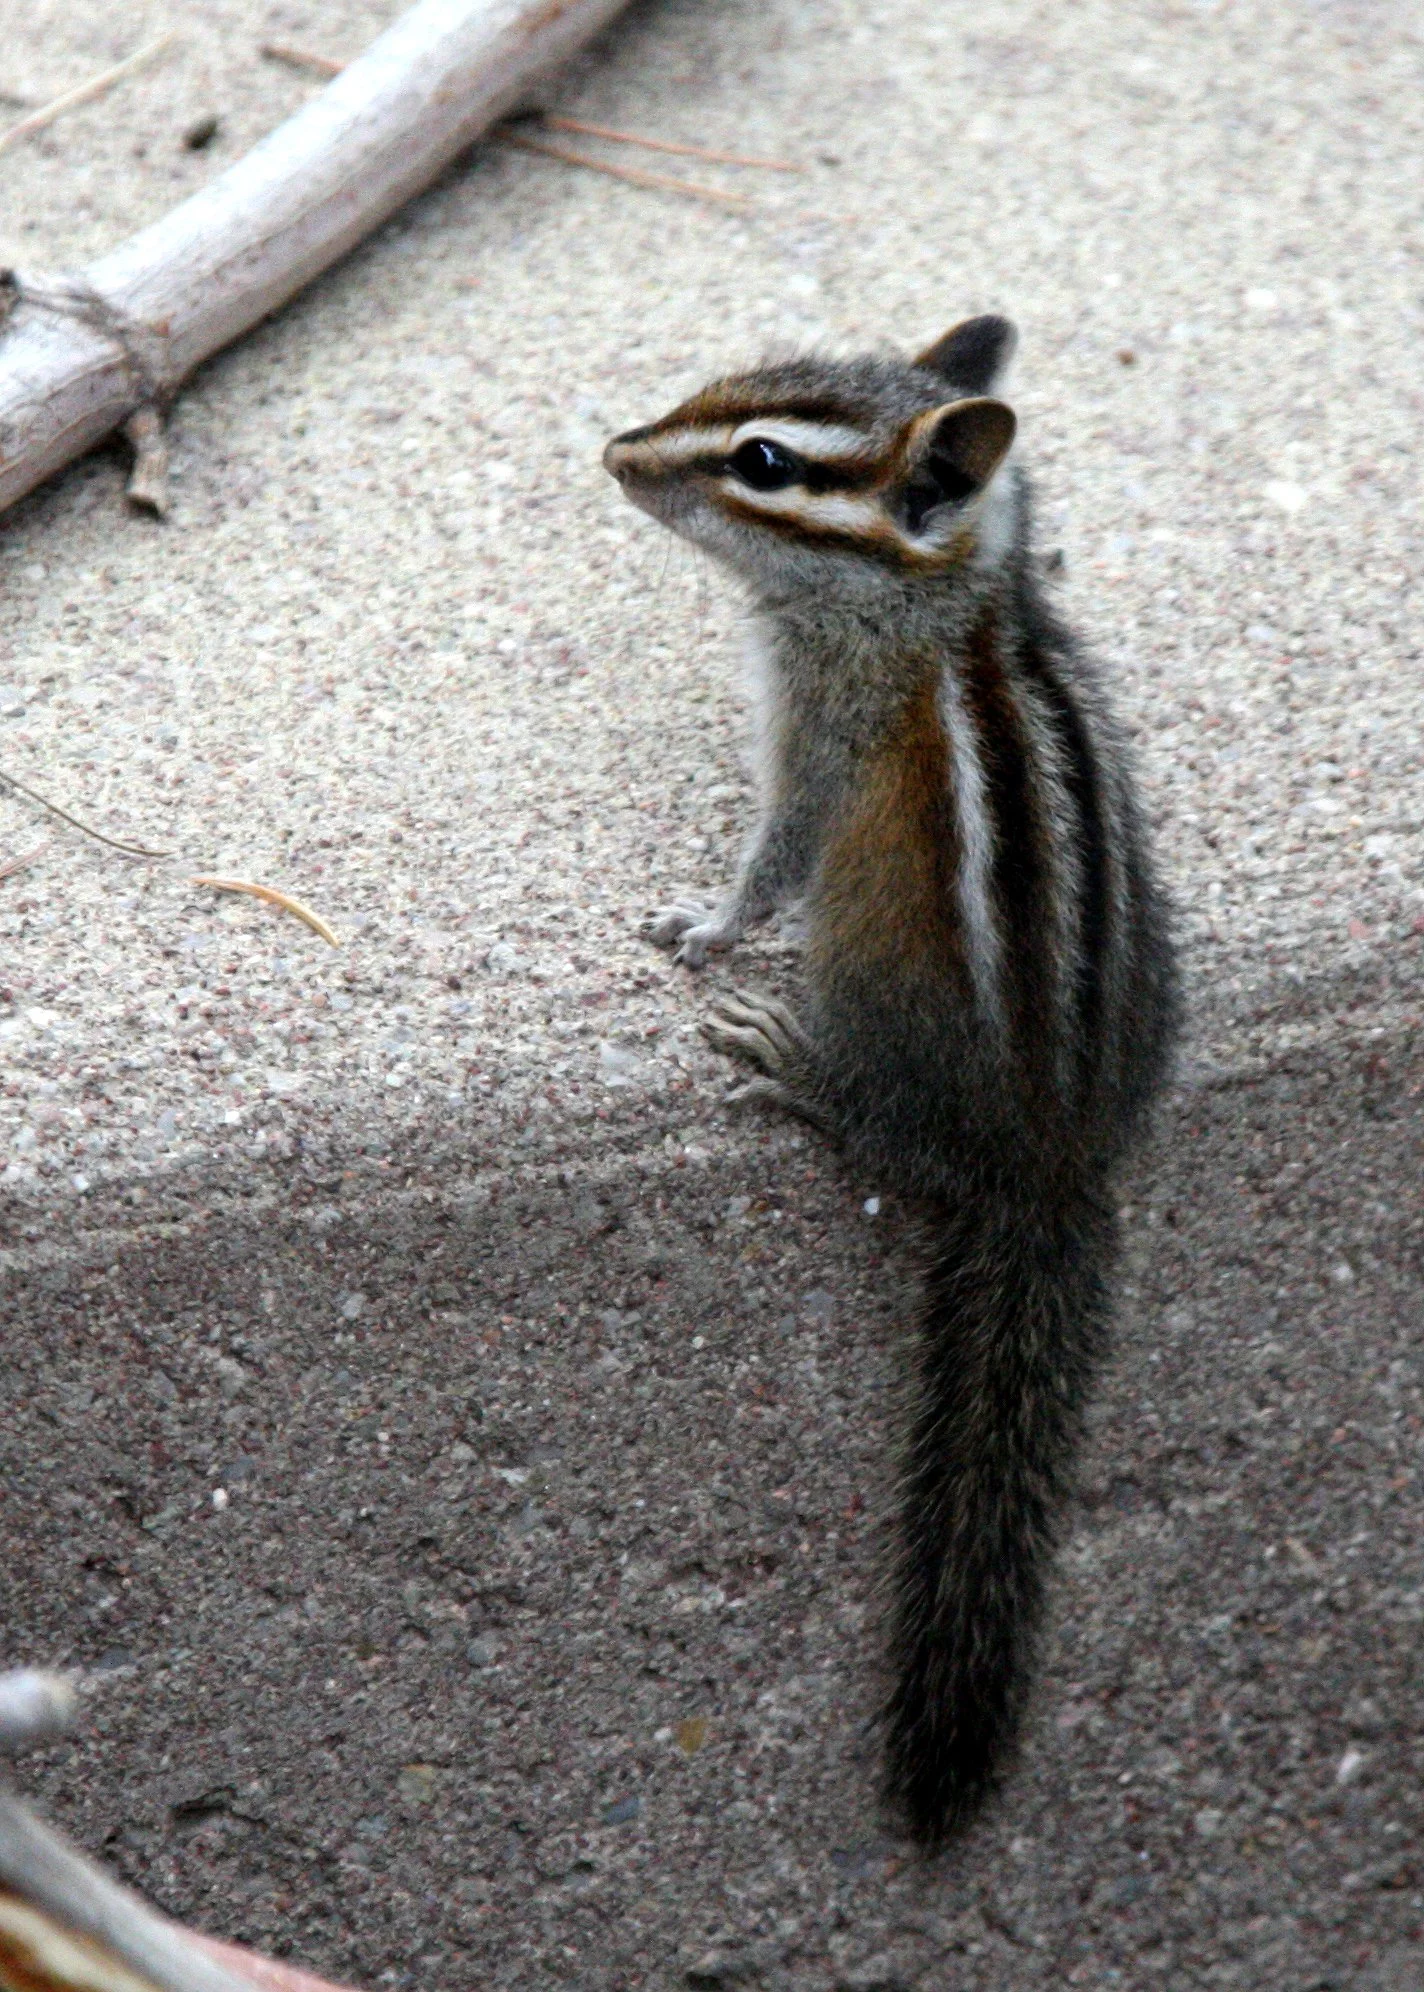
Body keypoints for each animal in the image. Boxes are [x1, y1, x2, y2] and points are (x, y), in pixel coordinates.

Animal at [603, 317, 1179, 1844]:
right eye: (719, 384)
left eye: (762, 463)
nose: (615, 452)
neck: (941, 600)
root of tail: (1047, 1154)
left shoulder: (821, 737)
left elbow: (775, 856)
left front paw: (703, 929)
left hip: (866, 1002)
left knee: (873, 1129)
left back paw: (792, 1064)